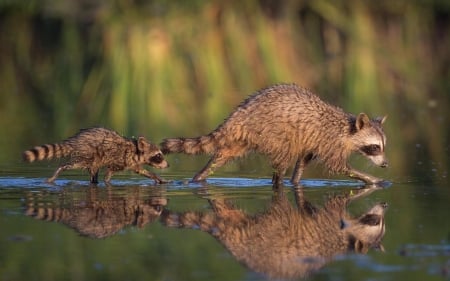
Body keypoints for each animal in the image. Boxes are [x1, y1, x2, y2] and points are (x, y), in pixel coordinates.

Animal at [22, 127, 169, 184]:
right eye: (158, 155)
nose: (168, 165)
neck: (135, 150)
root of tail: (74, 140)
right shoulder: (121, 159)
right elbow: (108, 175)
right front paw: (108, 182)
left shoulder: (131, 162)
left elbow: (141, 171)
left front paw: (158, 178)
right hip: (87, 154)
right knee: (71, 165)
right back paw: (59, 171)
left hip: (93, 159)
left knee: (93, 172)